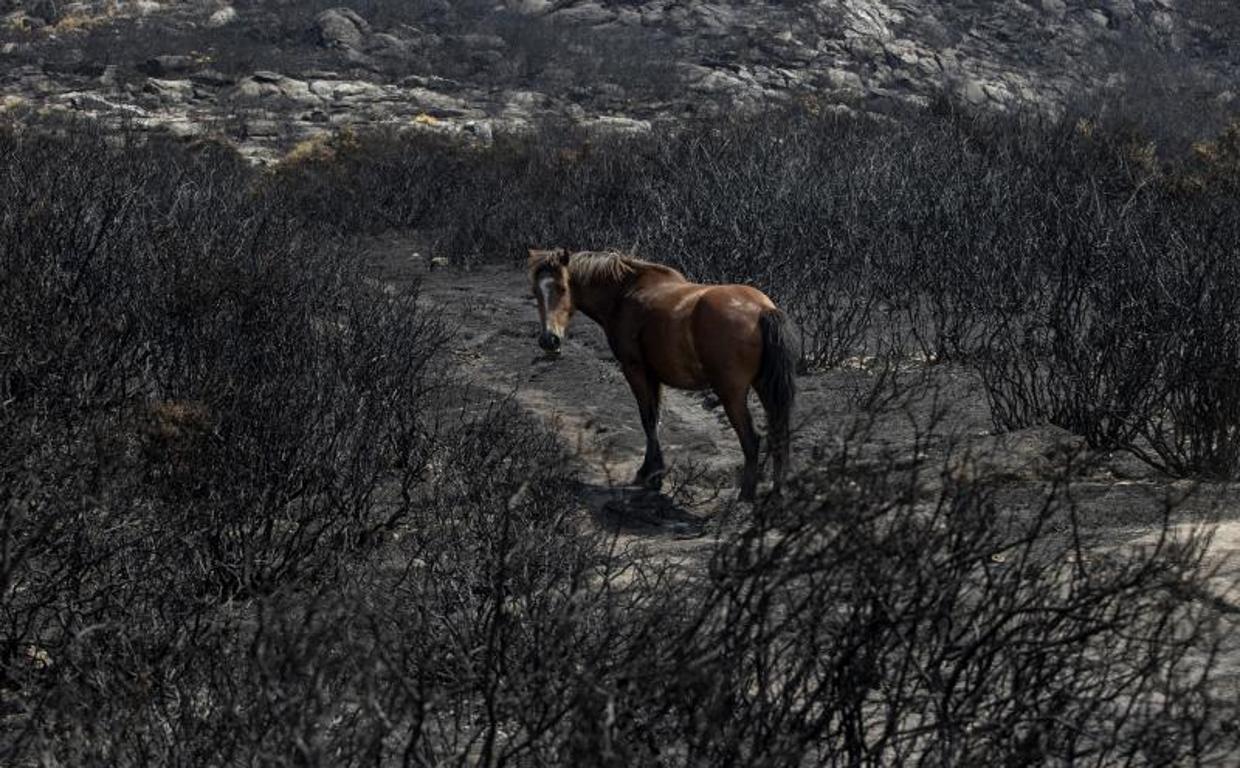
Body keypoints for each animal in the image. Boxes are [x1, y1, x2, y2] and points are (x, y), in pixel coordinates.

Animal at [523, 246, 793, 498]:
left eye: (562, 288)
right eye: (535, 291)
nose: (549, 340)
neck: (624, 294)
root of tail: (762, 310)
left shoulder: (635, 370)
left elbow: (648, 419)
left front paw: (651, 475)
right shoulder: (654, 376)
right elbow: (656, 419)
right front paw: (652, 471)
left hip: (732, 394)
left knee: (752, 439)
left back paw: (746, 494)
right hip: (765, 388)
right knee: (778, 432)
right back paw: (776, 492)